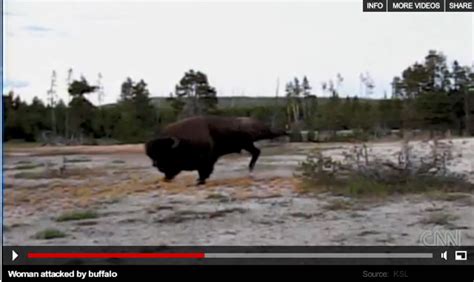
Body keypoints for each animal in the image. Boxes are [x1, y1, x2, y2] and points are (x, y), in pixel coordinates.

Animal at [144, 116, 286, 185]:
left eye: (165, 153)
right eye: (153, 155)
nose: (157, 166)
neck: (183, 141)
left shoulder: (206, 160)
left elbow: (204, 171)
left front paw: (200, 181)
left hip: (252, 140)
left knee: (264, 144)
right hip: (247, 144)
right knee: (257, 152)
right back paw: (250, 170)